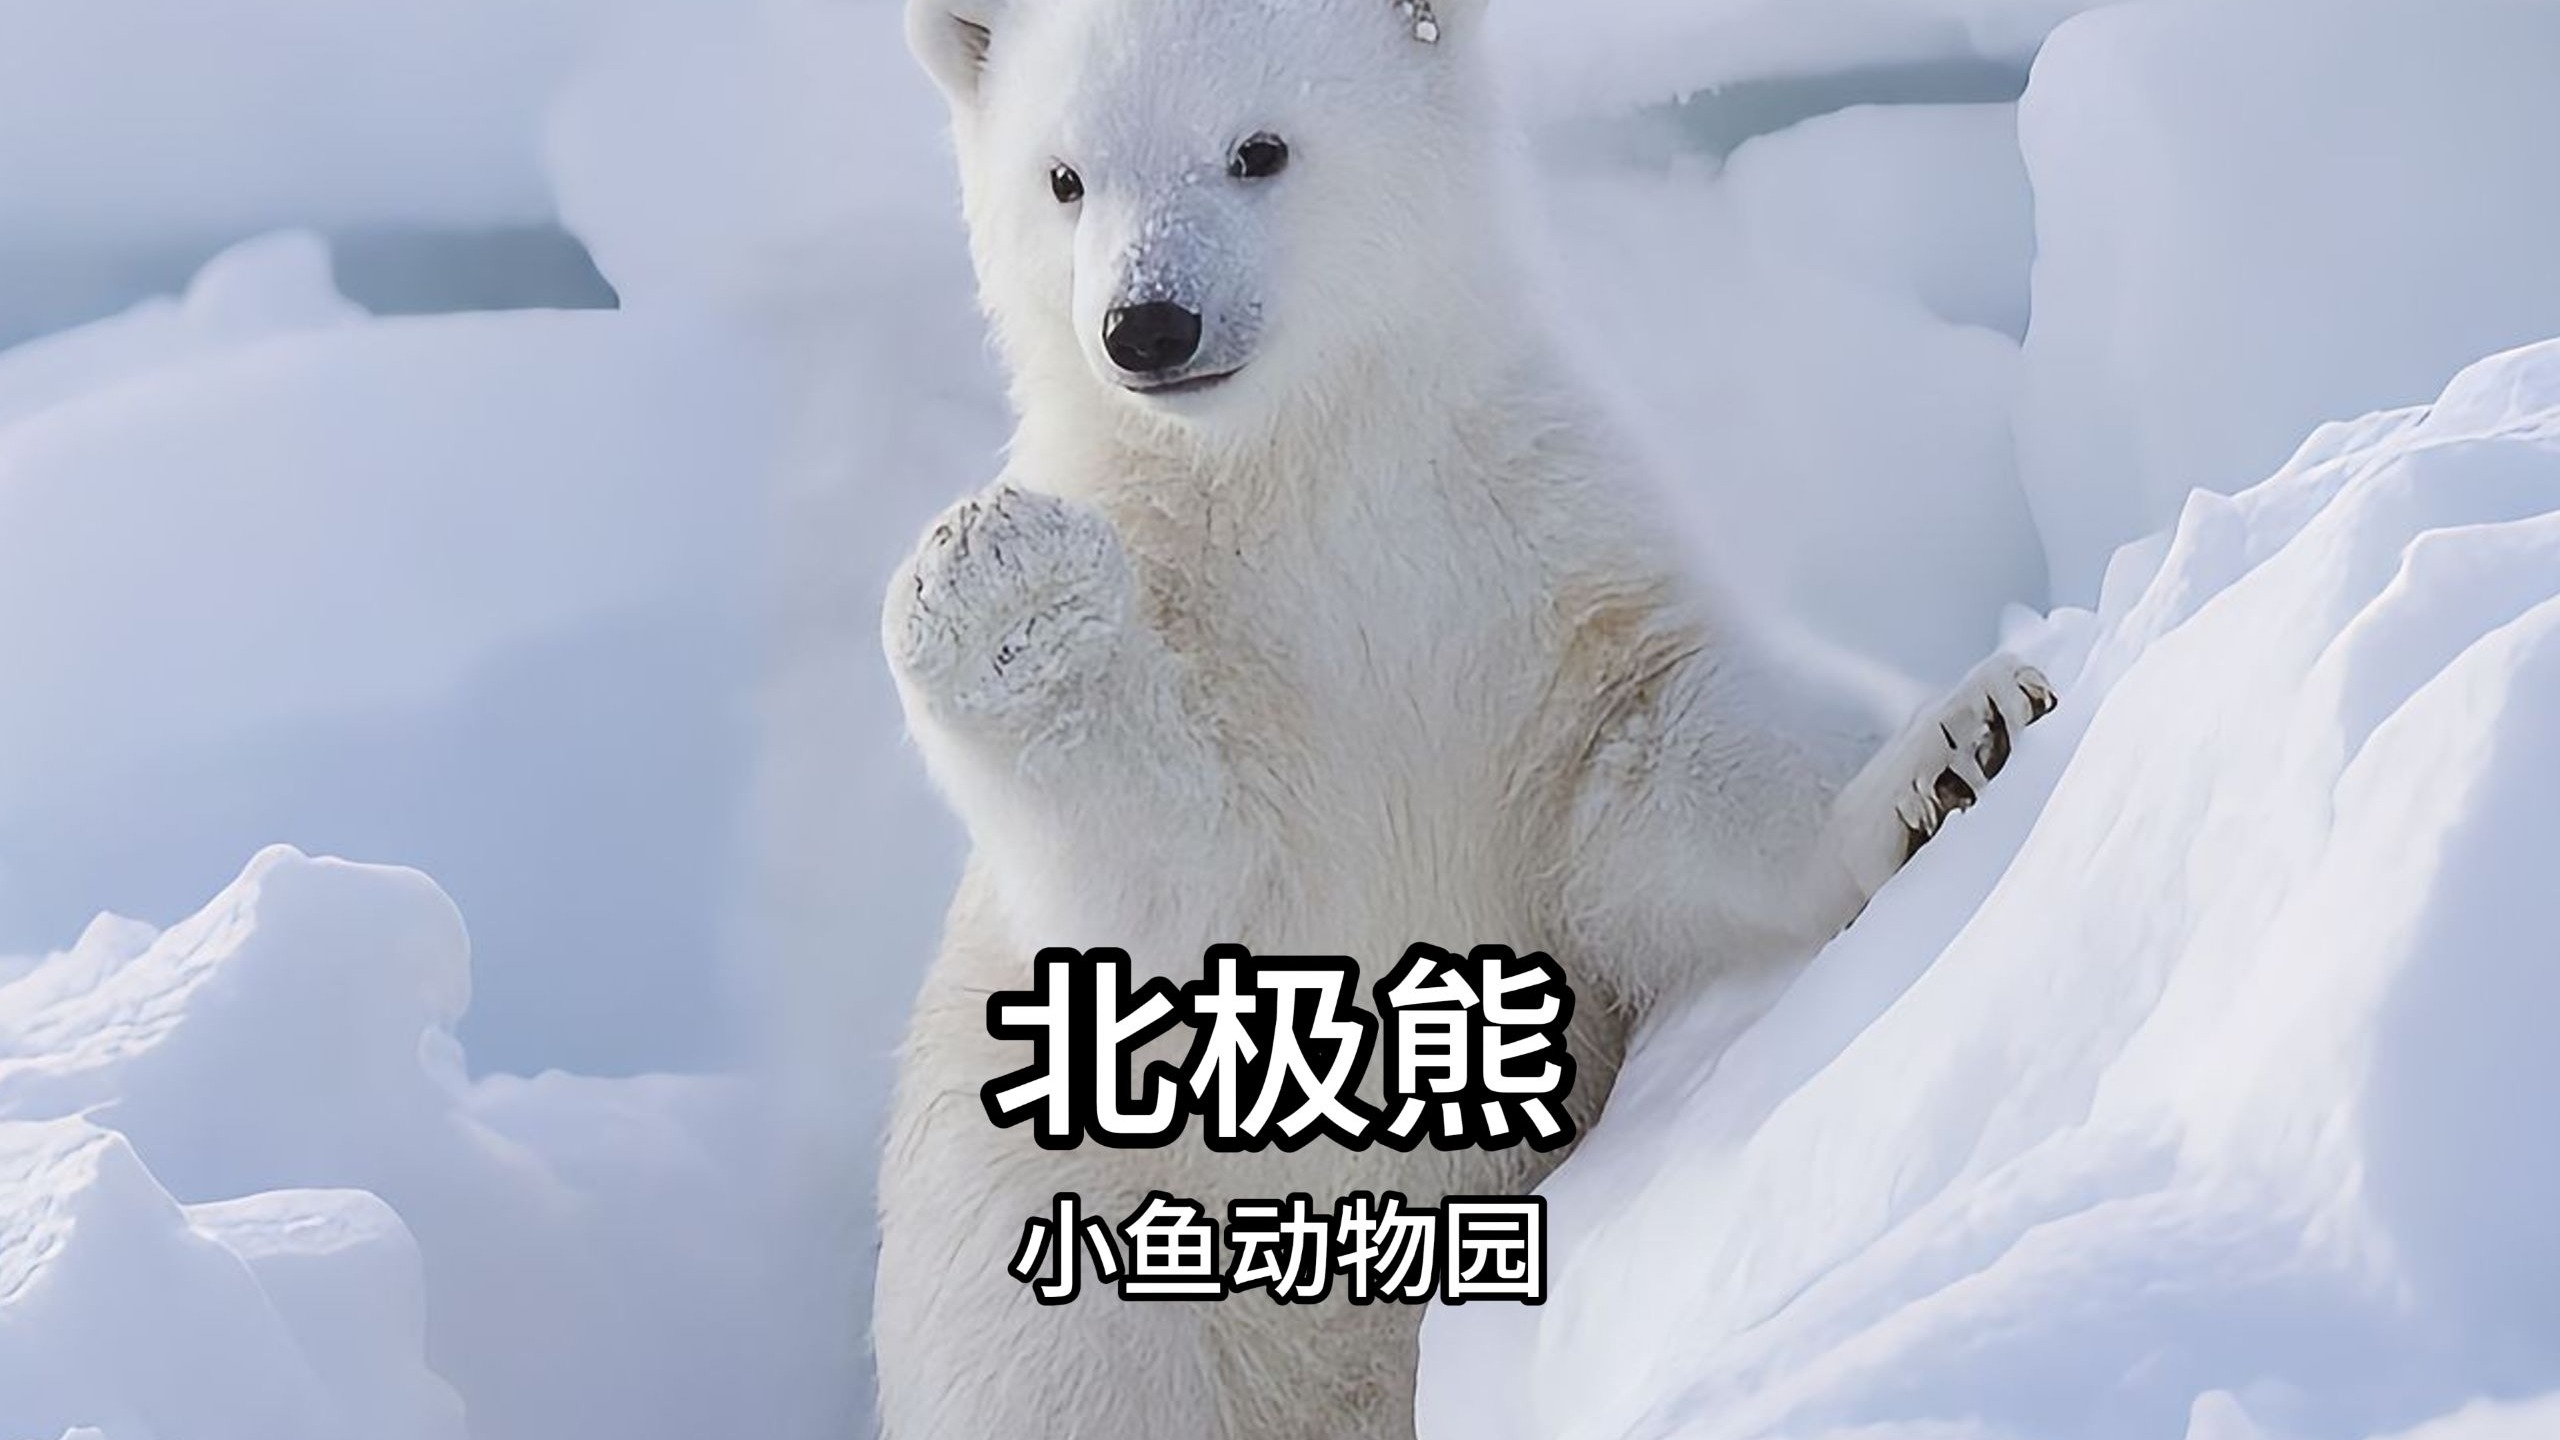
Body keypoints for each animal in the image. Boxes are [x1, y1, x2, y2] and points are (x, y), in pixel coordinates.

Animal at [872, 1, 2055, 1436]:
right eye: (1063, 178)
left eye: (1258, 148)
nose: (1147, 323)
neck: (1307, 477)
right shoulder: (1209, 640)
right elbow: (1173, 879)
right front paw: (1003, 581)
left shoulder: (1533, 564)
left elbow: (1652, 768)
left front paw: (1951, 756)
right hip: (1053, 1297)